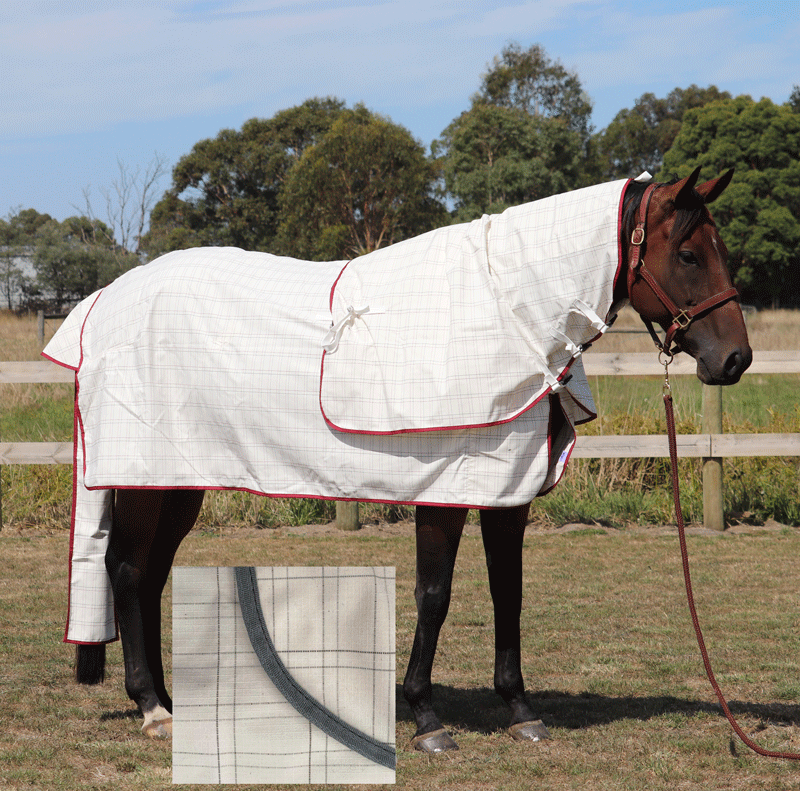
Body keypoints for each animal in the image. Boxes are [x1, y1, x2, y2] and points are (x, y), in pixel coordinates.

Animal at [48, 168, 751, 751]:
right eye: (689, 254)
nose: (735, 360)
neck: (509, 309)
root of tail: (103, 302)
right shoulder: (445, 489)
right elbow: (434, 595)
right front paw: (426, 718)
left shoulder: (507, 491)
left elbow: (509, 590)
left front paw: (520, 710)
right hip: (142, 480)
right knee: (128, 573)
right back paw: (152, 708)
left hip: (177, 481)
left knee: (151, 575)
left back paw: (172, 702)